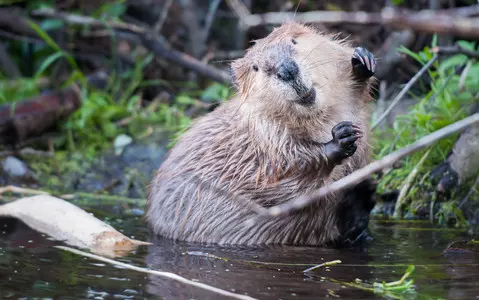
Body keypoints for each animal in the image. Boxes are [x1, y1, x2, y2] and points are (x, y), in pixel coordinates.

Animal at [146, 21, 378, 246]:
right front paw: (340, 138)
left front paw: (362, 60)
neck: (322, 117)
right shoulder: (263, 136)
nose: (287, 70)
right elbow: (285, 174)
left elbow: (356, 91)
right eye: (256, 67)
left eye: (294, 41)